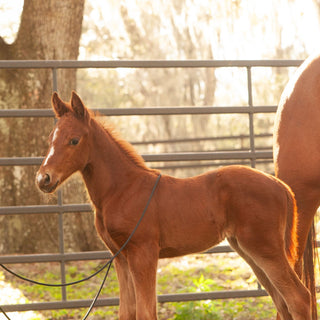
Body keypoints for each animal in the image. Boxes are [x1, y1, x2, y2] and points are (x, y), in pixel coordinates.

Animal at [37, 91, 310, 318]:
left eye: (74, 140)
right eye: (50, 139)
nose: (43, 179)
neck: (123, 189)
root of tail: (280, 186)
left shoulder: (143, 254)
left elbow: (145, 312)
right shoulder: (121, 258)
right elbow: (127, 312)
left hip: (265, 249)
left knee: (299, 298)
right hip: (248, 250)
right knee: (282, 302)